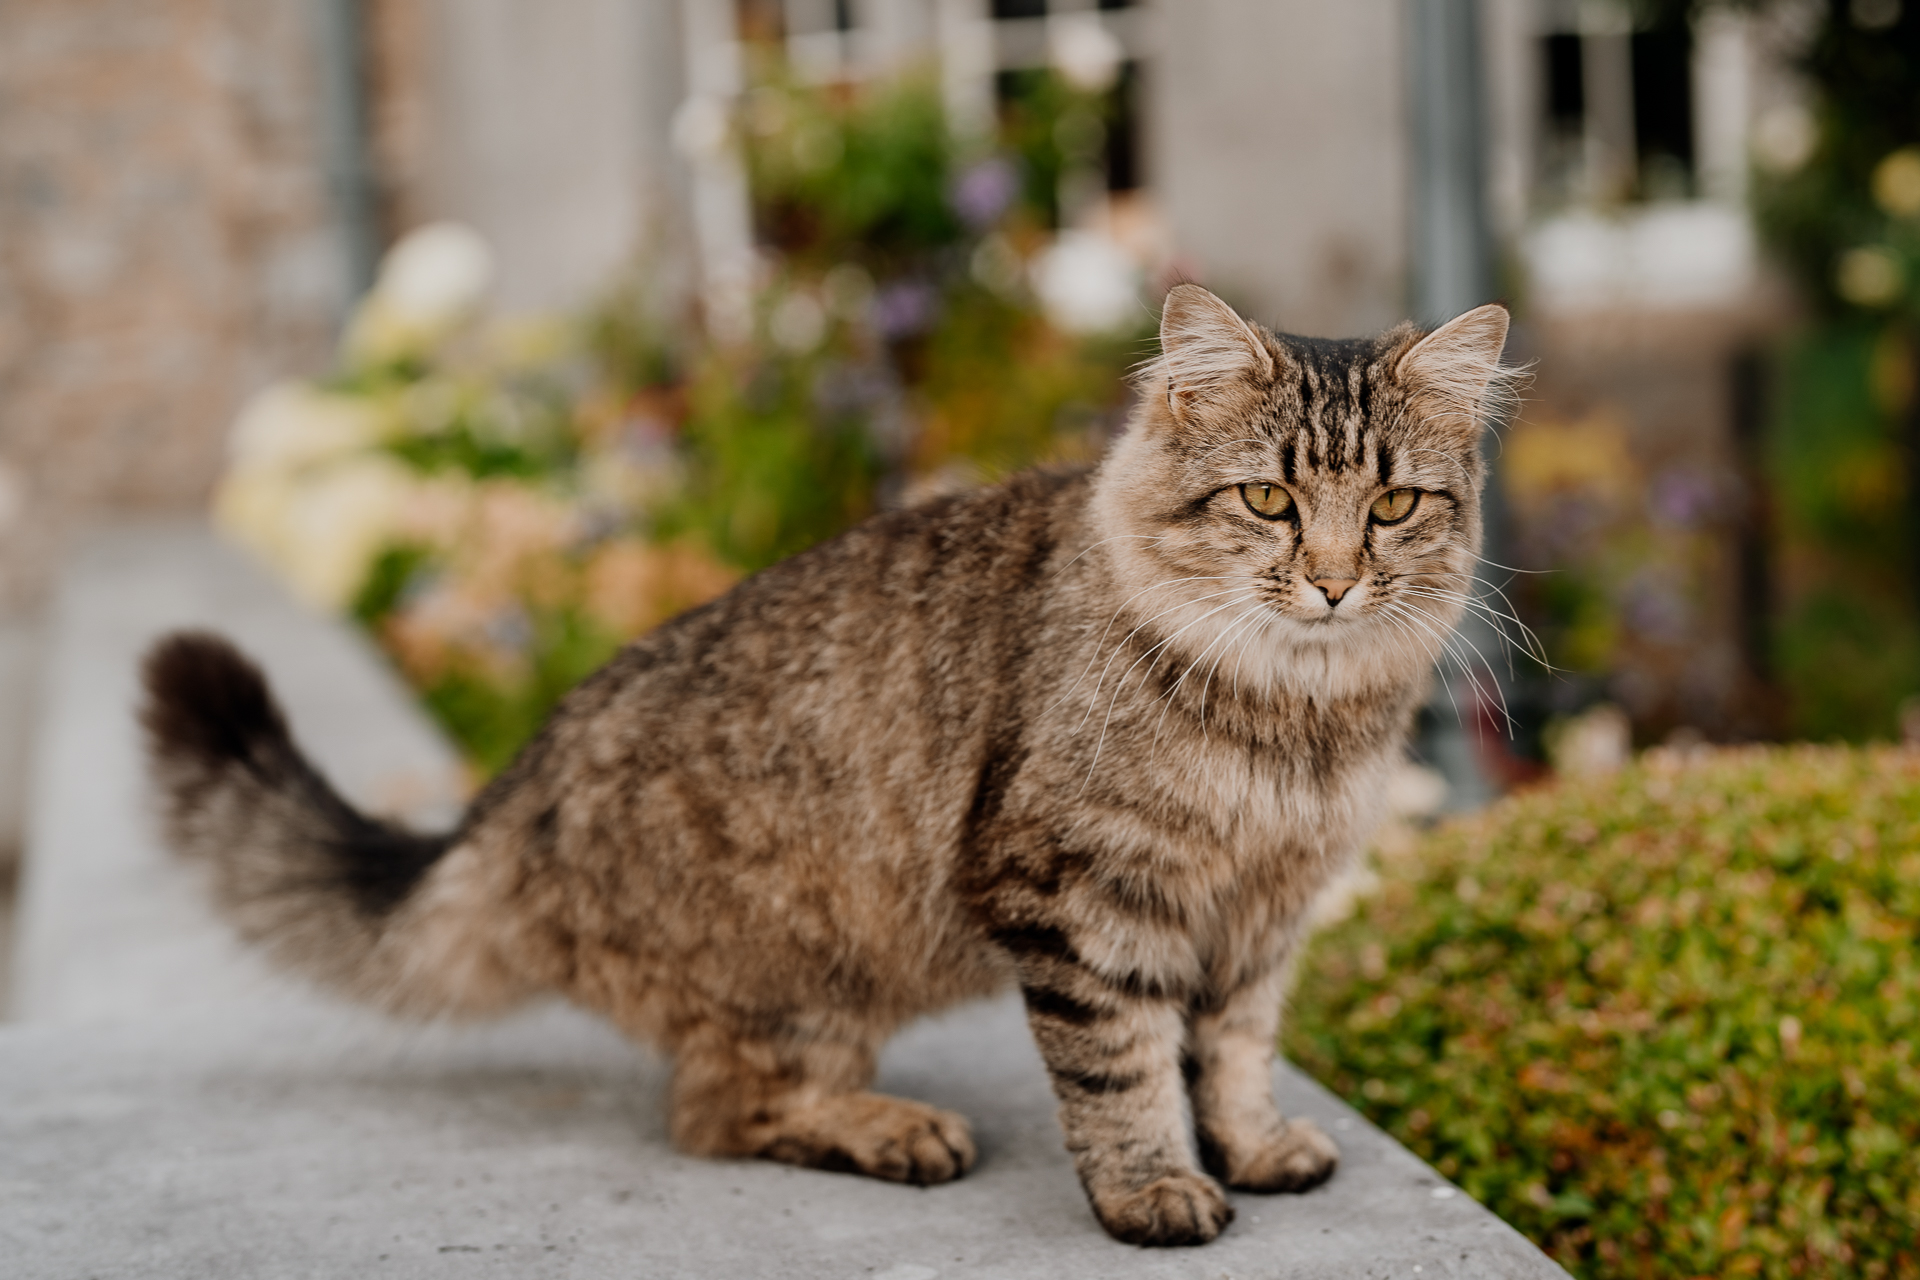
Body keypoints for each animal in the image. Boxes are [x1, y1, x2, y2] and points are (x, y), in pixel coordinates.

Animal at [142, 285, 1512, 1243]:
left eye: (1392, 507)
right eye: (1269, 502)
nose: (1333, 581)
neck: (1296, 718)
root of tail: (512, 790)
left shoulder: (1262, 916)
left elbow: (1230, 1052)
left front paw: (1252, 1145)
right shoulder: (1079, 898)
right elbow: (1124, 1069)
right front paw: (1154, 1189)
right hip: (805, 985)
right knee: (714, 1113)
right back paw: (896, 1128)